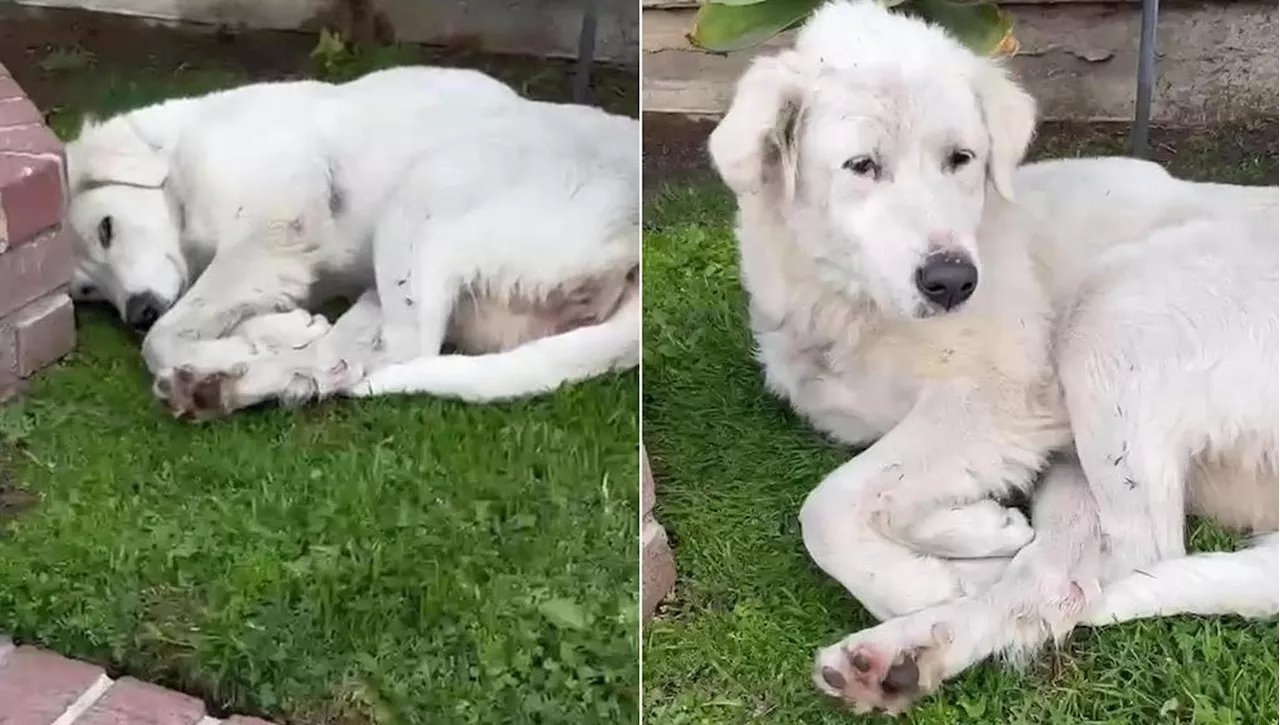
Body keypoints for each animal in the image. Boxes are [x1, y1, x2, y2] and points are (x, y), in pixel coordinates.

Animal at [64, 69, 640, 420]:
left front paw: (224, 343)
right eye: (87, 291)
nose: (135, 312)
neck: (178, 154)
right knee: (352, 357)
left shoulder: (273, 229)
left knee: (402, 350)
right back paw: (229, 386)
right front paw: (275, 333)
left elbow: (165, 335)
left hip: (426, 192)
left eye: (107, 229)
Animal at [711, 0, 1280, 717]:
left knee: (1128, 557)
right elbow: (889, 490)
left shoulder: (999, 396)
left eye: (961, 158)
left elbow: (829, 504)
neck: (853, 305)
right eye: (862, 165)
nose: (952, 281)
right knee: (1061, 577)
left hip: (1113, 312)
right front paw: (976, 531)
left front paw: (922, 576)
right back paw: (910, 651)